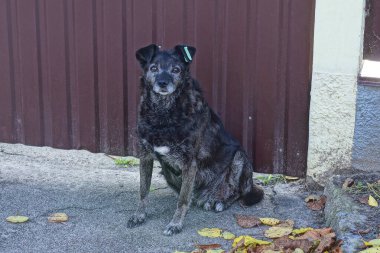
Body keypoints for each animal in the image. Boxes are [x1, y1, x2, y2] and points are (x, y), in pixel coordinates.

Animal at [127, 43, 264, 235]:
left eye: (176, 70)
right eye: (154, 68)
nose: (163, 83)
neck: (164, 113)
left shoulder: (189, 163)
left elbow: (183, 200)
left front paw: (175, 224)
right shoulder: (145, 156)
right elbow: (143, 191)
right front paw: (139, 215)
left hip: (240, 157)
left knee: (237, 192)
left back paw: (220, 201)